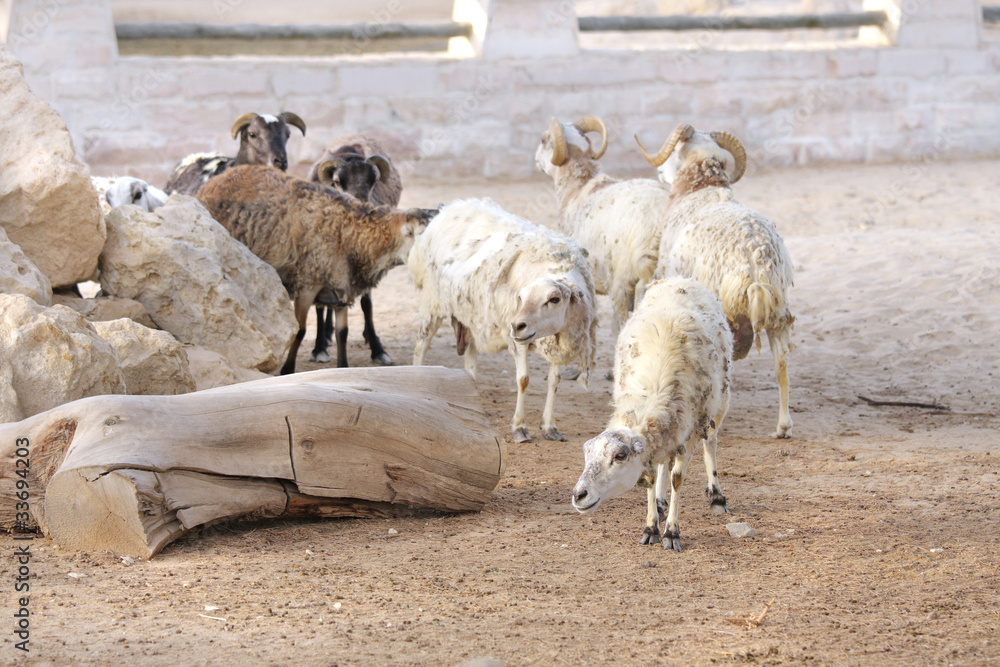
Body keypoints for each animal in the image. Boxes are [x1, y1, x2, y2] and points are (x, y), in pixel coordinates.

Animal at [196, 164, 437, 374]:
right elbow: (300, 330)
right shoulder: (307, 284)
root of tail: (219, 178)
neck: (353, 237)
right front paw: (287, 370)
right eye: (423, 234)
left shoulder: (340, 287)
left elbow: (342, 333)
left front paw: (342, 367)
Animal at [305, 135, 402, 367]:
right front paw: (319, 348)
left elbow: (367, 303)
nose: (362, 207)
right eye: (338, 182)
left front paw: (378, 349)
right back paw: (327, 334)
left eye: (373, 181)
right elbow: (319, 307)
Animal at [408, 197, 598, 444]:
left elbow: (554, 381)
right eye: (521, 297)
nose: (517, 326)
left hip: (471, 315)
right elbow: (524, 380)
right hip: (433, 300)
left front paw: (549, 427)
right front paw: (519, 428)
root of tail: (450, 207)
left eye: (554, 299)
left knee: (469, 356)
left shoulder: (554, 340)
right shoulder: (520, 341)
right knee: (421, 345)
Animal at [571, 277, 733, 551]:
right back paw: (659, 501)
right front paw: (650, 527)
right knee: (663, 462)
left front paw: (671, 532)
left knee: (710, 442)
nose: (578, 495)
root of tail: (680, 278)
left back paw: (716, 497)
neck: (653, 394)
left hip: (718, 402)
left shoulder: (689, 432)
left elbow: (677, 479)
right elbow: (651, 475)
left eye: (620, 456)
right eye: (586, 454)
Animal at [635, 123, 795, 439]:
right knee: (782, 362)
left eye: (674, 152)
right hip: (779, 308)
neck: (703, 189)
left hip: (725, 312)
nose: (659, 172)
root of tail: (756, 255)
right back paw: (783, 426)